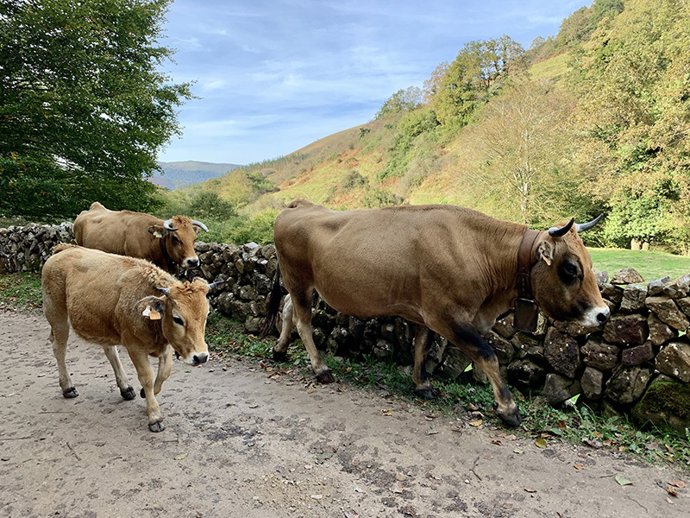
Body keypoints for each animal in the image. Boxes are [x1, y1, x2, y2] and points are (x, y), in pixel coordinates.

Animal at [42, 244, 220, 432]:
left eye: (206, 315)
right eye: (177, 319)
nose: (201, 357)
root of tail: (65, 248)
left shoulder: (166, 347)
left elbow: (164, 373)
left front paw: (146, 394)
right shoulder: (134, 347)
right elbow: (147, 377)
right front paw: (154, 416)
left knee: (110, 351)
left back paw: (125, 387)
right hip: (57, 317)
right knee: (59, 349)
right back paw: (68, 387)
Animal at [263, 200, 609, 427]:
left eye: (590, 263)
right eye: (570, 268)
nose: (603, 313)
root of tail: (300, 205)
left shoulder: (427, 313)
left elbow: (422, 347)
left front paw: (422, 384)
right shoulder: (448, 316)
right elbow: (488, 355)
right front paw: (508, 409)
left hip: (304, 285)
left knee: (288, 309)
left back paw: (279, 350)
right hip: (299, 279)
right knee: (303, 321)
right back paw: (320, 368)